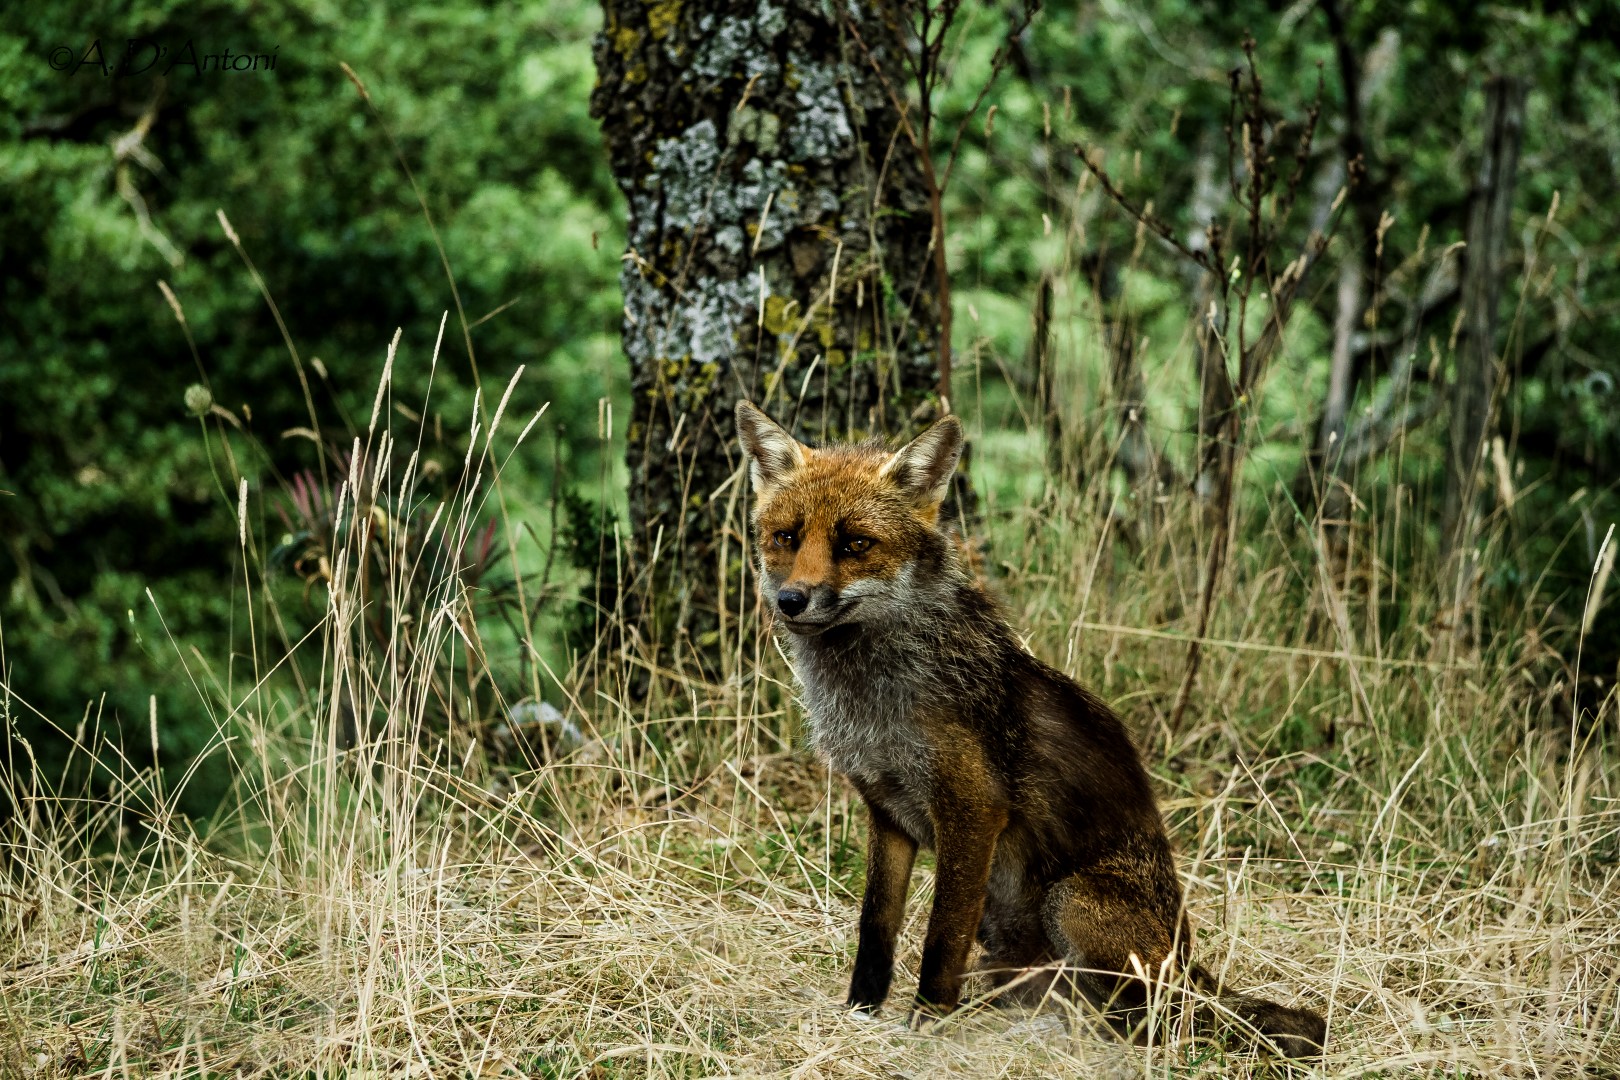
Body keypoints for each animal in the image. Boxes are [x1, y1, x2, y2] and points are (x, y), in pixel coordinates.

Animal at [735, 400, 1327, 1058]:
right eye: (786, 537)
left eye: (856, 544)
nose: (791, 600)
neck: (874, 695)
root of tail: (1196, 969)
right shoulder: (887, 811)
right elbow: (876, 927)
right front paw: (861, 1012)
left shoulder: (972, 808)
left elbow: (940, 936)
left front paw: (927, 1025)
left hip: (1073, 903)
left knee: (1154, 1023)